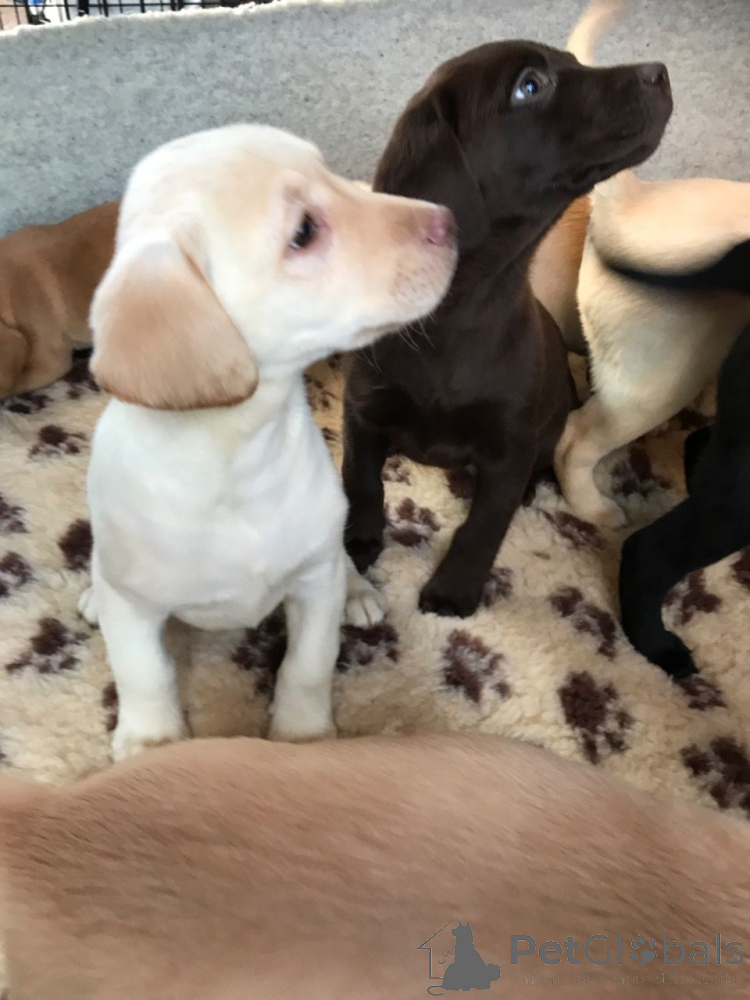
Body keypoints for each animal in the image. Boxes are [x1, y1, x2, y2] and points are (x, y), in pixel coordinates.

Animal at [79, 123, 457, 759]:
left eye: (333, 173)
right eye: (303, 232)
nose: (450, 220)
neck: (238, 457)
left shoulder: (312, 583)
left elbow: (307, 666)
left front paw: (302, 738)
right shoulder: (132, 607)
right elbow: (144, 672)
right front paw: (152, 743)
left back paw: (357, 589)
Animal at [341, 37, 672, 618]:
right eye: (530, 86)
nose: (661, 72)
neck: (459, 312)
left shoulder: (510, 445)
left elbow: (485, 524)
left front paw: (453, 590)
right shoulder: (363, 410)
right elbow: (361, 482)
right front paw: (358, 544)